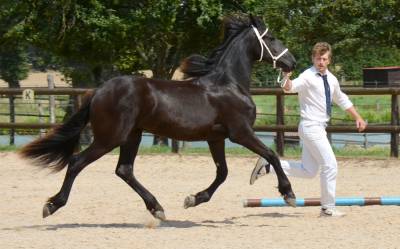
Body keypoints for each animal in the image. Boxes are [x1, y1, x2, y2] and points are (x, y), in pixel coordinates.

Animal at [20, 14, 296, 221]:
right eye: (270, 37)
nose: (291, 61)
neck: (228, 84)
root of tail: (99, 90)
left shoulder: (215, 138)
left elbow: (223, 173)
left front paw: (192, 199)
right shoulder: (240, 133)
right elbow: (271, 154)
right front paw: (288, 194)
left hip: (133, 134)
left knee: (124, 170)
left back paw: (157, 208)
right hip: (110, 137)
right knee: (77, 162)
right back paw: (52, 205)